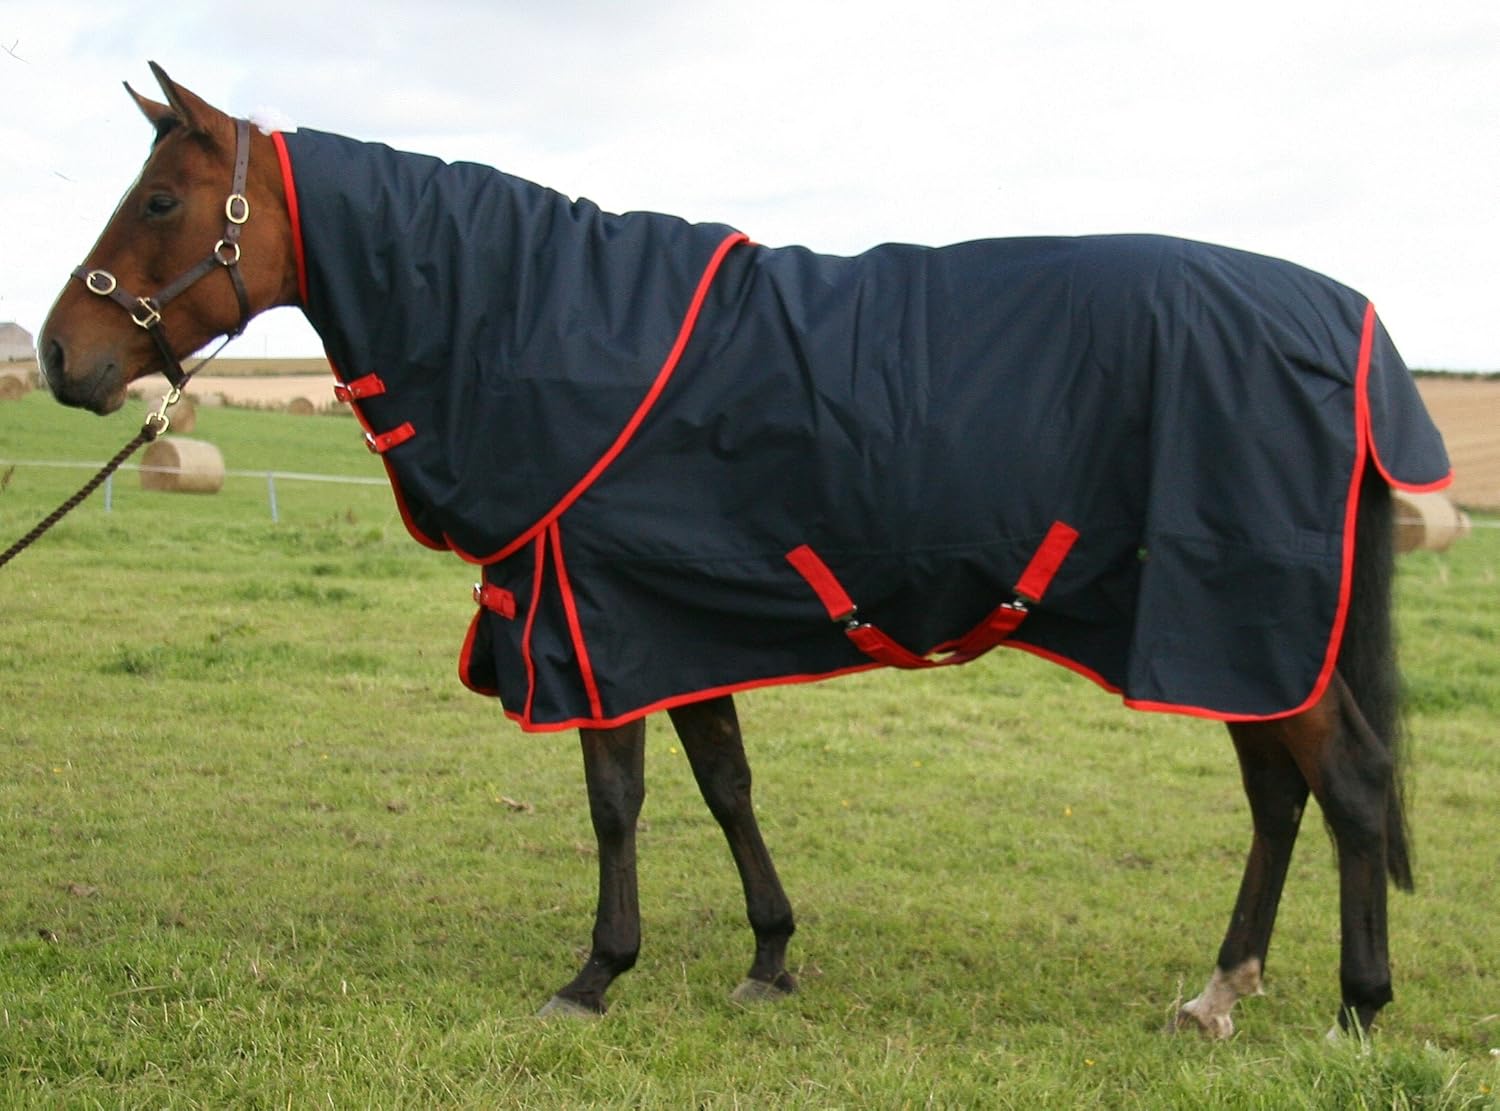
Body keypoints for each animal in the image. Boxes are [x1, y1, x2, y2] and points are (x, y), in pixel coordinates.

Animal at [37, 63, 1451, 1037]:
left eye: (159, 199)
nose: (60, 356)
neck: (542, 323)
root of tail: (1350, 323)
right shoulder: (671, 614)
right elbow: (726, 783)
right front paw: (770, 954)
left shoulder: (594, 620)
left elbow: (618, 801)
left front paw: (596, 974)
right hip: (1234, 635)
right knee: (1279, 796)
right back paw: (1221, 989)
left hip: (1247, 617)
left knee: (1350, 787)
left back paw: (1358, 1005)